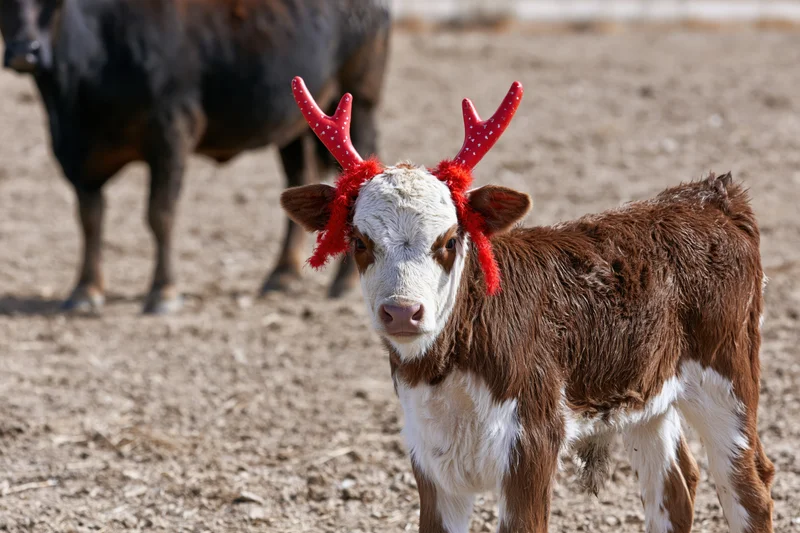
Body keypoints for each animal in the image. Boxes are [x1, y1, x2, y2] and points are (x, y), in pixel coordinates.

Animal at [0, 0, 390, 313]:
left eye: (53, 2)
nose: (23, 51)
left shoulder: (170, 134)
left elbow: (160, 214)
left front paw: (163, 291)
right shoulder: (77, 154)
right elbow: (89, 219)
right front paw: (85, 289)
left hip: (360, 101)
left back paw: (342, 282)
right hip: (296, 121)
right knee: (299, 177)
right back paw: (282, 274)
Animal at [280, 76, 775, 533]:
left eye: (449, 240)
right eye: (360, 242)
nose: (402, 311)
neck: (451, 366)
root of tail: (712, 198)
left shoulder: (532, 443)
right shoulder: (429, 456)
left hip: (727, 373)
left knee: (749, 485)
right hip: (648, 391)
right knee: (675, 483)